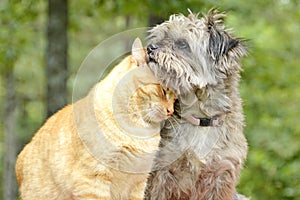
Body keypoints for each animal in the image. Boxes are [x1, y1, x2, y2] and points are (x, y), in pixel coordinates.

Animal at [144, 9, 250, 200]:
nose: (150, 48)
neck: (201, 120)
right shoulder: (161, 172)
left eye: (182, 44)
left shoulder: (222, 175)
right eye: (161, 37)